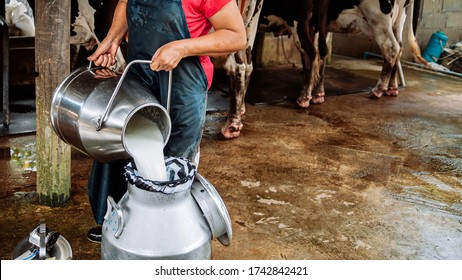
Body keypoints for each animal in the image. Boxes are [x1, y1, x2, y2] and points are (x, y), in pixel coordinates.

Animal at [218, 0, 428, 139]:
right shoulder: (320, 24)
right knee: (398, 47)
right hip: (396, 18)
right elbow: (322, 54)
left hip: (373, 18)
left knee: (390, 48)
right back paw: (391, 88)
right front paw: (319, 93)